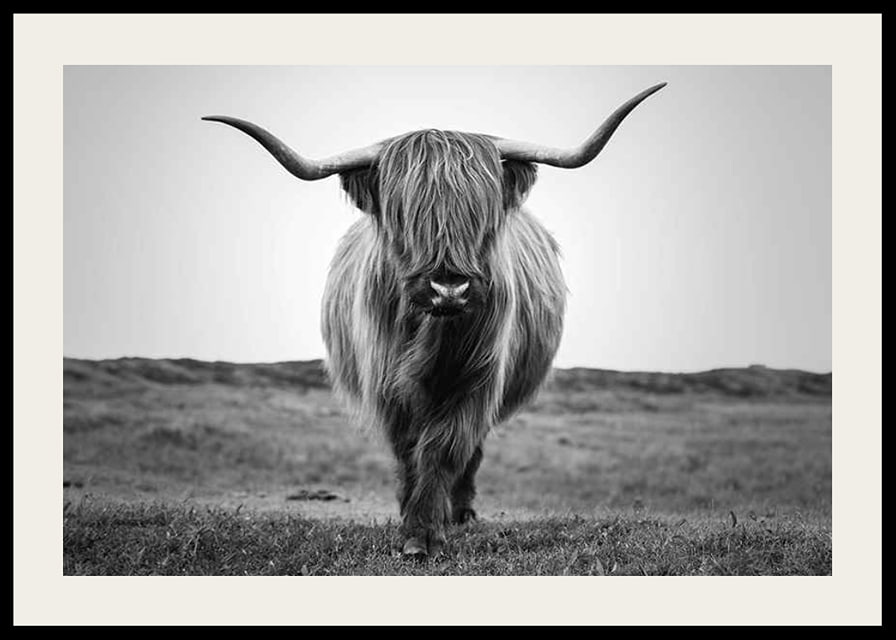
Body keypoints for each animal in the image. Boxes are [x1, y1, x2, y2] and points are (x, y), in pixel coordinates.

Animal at [203, 82, 666, 558]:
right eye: (403, 215)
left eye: (481, 213)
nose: (449, 289)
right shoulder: (387, 385)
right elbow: (409, 450)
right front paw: (412, 523)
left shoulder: (477, 380)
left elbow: (444, 447)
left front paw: (426, 530)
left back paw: (460, 512)